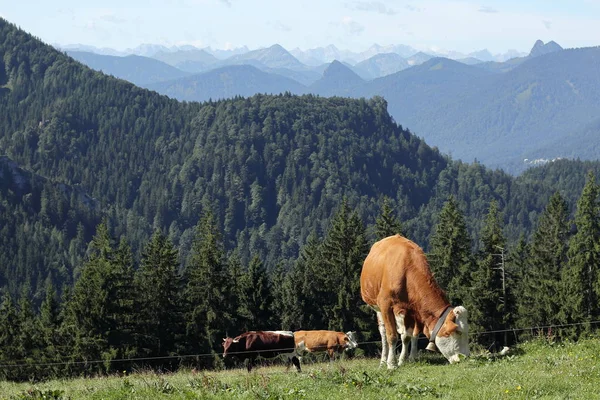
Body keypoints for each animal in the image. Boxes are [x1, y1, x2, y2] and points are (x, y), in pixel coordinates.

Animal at [358, 234, 472, 368]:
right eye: (458, 332)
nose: (465, 358)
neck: (406, 272)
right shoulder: (385, 305)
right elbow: (392, 336)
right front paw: (392, 364)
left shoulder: (411, 310)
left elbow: (407, 336)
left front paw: (403, 360)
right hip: (377, 308)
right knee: (383, 333)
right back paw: (383, 362)